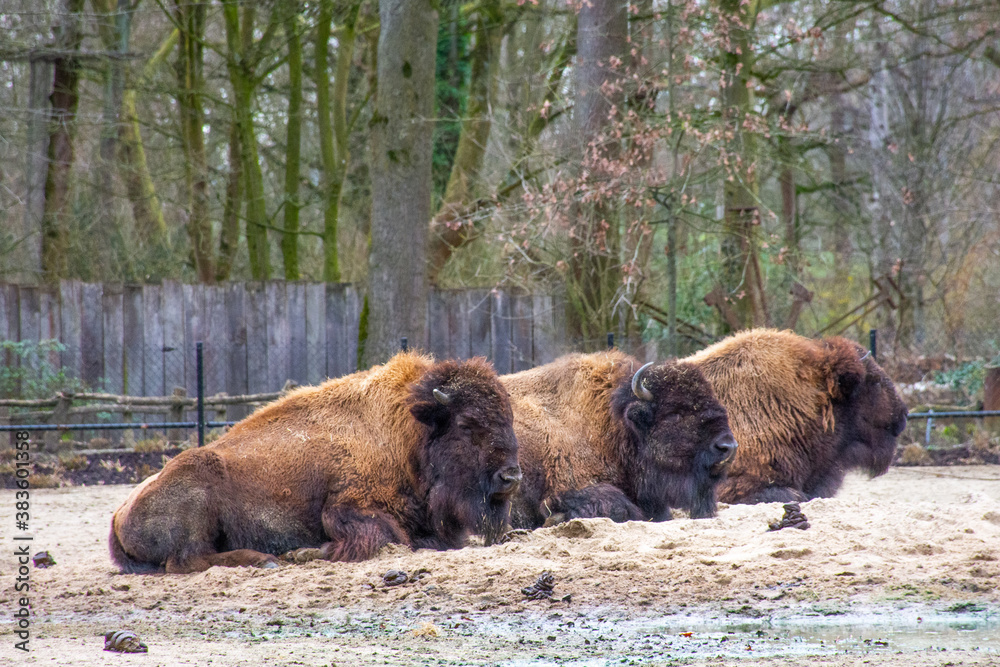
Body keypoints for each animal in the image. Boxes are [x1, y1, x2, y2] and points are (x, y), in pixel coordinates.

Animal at [109, 353, 521, 573]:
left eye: (509, 418)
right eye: (466, 424)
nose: (511, 476)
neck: (405, 432)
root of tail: (118, 513)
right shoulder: (348, 509)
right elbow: (388, 537)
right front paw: (303, 552)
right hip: (198, 494)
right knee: (186, 561)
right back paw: (266, 559)